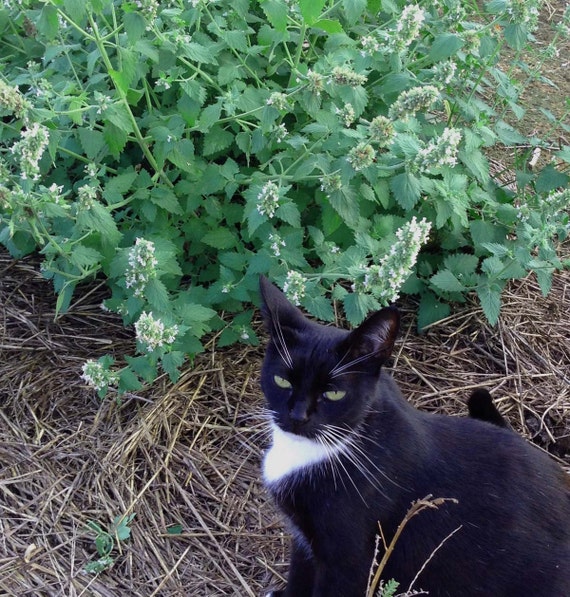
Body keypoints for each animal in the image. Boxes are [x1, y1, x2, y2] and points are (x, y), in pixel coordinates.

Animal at [258, 276, 568, 596]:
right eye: (281, 380)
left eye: (334, 394)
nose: (297, 416)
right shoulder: (303, 538)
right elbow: (299, 574)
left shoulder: (348, 559)